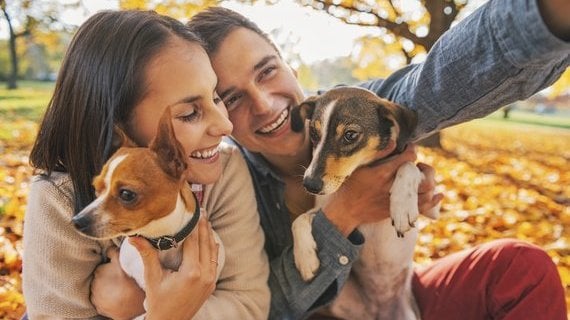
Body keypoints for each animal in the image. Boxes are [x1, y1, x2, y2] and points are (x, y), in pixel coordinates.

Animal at [288, 87, 440, 320]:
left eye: (350, 135)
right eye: (313, 133)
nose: (309, 184)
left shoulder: (432, 206)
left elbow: (408, 166)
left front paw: (402, 206)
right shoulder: (325, 206)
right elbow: (298, 220)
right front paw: (305, 259)